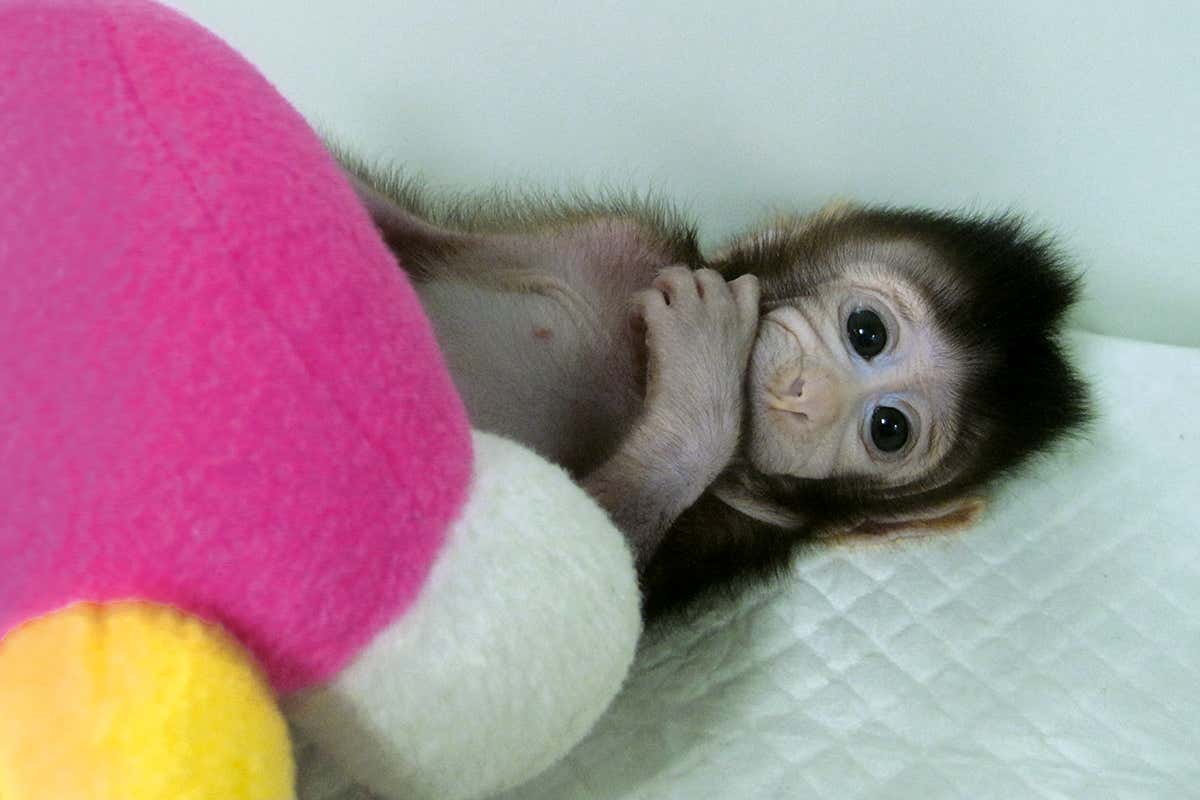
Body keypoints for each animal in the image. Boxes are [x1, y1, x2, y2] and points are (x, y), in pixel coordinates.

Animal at [337, 153, 1091, 619]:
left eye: (888, 429)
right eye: (867, 331)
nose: (810, 394)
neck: (640, 376)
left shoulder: (726, 531)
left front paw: (703, 380)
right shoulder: (619, 241)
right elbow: (401, 229)